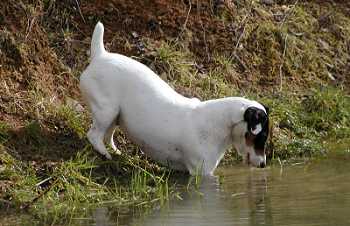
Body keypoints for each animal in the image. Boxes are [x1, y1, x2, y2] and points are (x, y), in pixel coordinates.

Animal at [80, 22, 270, 176]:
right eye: (262, 137)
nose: (263, 165)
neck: (220, 125)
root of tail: (100, 55)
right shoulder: (202, 174)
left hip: (115, 116)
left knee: (108, 135)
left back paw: (116, 152)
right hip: (106, 111)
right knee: (94, 135)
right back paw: (105, 154)